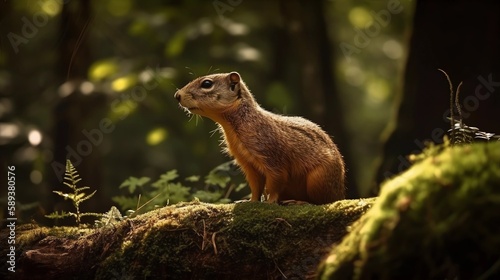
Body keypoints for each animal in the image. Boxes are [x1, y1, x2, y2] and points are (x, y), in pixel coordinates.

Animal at [175, 71, 344, 203]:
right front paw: (250, 201)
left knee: (322, 200)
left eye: (207, 83)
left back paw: (299, 202)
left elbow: (274, 183)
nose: (177, 95)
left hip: (319, 179)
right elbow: (256, 186)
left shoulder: (272, 157)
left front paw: (269, 202)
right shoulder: (248, 164)